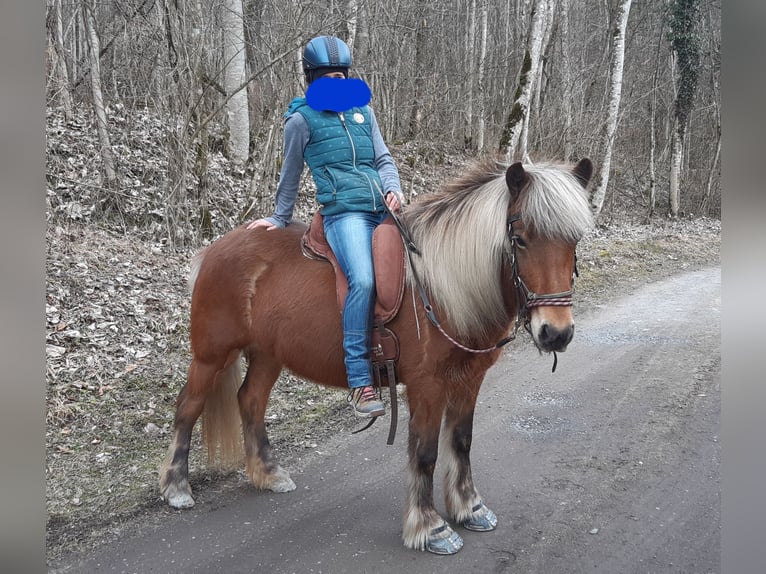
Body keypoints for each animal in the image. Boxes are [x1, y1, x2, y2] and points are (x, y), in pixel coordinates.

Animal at [159, 160, 596, 556]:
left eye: (574, 240)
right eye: (519, 239)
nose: (556, 333)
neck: (442, 288)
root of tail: (214, 249)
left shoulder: (469, 378)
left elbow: (461, 441)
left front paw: (469, 507)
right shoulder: (427, 385)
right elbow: (425, 453)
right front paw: (430, 528)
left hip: (268, 355)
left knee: (250, 400)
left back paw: (268, 473)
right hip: (212, 355)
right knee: (188, 408)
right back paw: (177, 487)